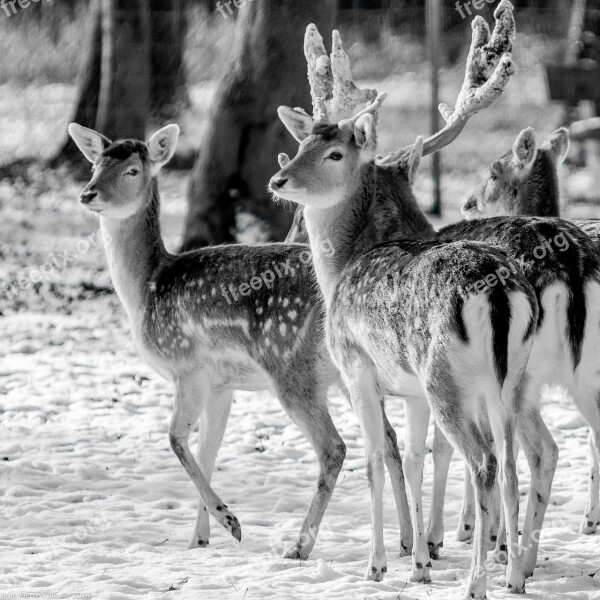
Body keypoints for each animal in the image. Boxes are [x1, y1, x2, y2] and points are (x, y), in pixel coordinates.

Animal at [270, 3, 548, 596]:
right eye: (303, 143)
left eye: (334, 152)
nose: (278, 179)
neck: (342, 268)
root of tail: (500, 291)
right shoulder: (411, 390)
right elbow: (417, 459)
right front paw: (419, 560)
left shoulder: (357, 367)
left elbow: (377, 457)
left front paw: (378, 564)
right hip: (511, 380)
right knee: (514, 459)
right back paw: (514, 574)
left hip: (444, 376)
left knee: (484, 461)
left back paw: (477, 581)